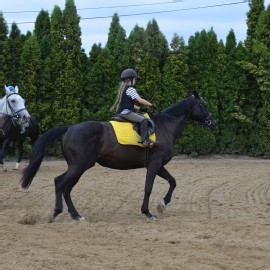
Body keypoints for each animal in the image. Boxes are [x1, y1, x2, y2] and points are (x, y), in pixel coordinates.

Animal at [20, 93, 215, 221]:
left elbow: (173, 181)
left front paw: (163, 204)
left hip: (78, 167)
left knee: (66, 187)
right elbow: (148, 188)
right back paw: (57, 212)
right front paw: (147, 212)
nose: (213, 123)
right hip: (79, 166)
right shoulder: (154, 164)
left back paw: (76, 215)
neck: (164, 126)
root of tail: (69, 128)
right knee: (60, 183)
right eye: (204, 106)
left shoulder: (158, 165)